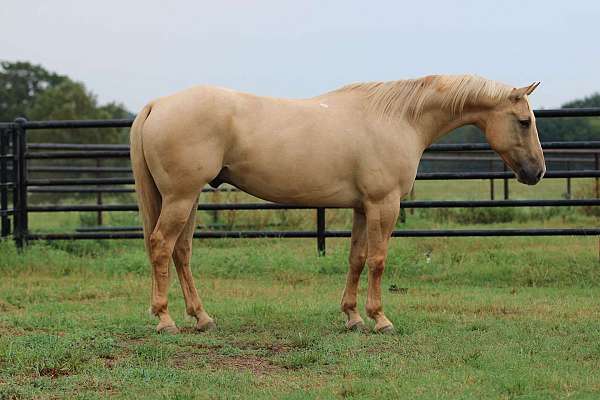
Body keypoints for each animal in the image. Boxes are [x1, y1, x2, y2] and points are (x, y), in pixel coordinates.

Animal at [130, 75, 544, 334]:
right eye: (524, 121)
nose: (537, 172)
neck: (399, 119)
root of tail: (157, 104)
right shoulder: (384, 205)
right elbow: (378, 261)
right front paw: (380, 319)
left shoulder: (363, 207)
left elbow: (356, 259)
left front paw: (353, 317)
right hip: (181, 197)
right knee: (161, 246)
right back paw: (165, 320)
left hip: (188, 199)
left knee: (181, 252)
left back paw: (202, 317)